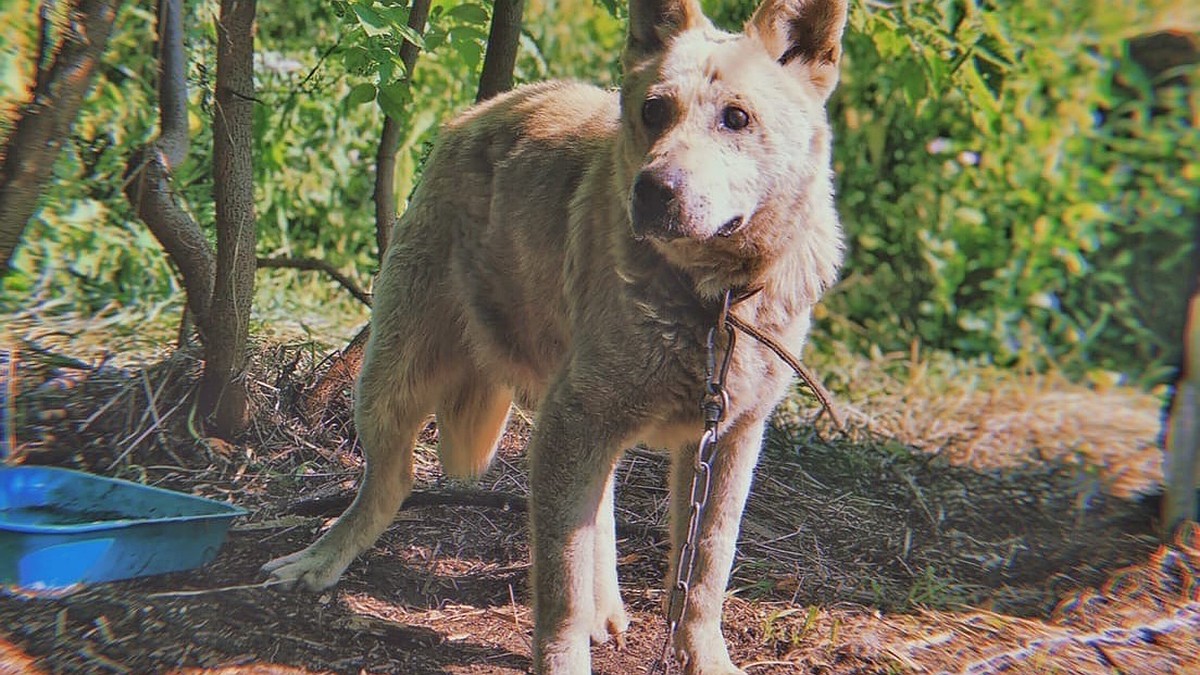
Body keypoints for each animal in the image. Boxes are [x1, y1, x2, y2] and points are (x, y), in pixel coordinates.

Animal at [262, 1, 844, 667]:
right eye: (654, 111)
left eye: (737, 118)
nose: (652, 191)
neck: (710, 303)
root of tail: (488, 107)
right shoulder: (577, 422)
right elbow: (560, 588)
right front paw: (565, 656)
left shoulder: (729, 440)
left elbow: (705, 570)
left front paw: (705, 658)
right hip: (395, 377)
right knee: (390, 484)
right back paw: (321, 560)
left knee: (600, 511)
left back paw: (607, 605)